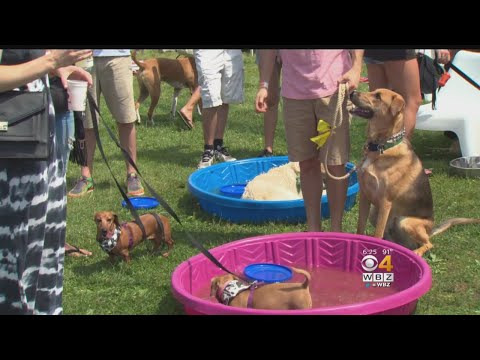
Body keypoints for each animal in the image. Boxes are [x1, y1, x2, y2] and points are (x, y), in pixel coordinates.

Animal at [348, 87, 480, 256]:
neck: (380, 146)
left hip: (405, 221)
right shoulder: (365, 196)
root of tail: (430, 230)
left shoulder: (385, 202)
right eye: (373, 91)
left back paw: (417, 252)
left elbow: (377, 233)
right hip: (374, 212)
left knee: (428, 244)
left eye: (377, 96)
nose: (352, 92)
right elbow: (360, 227)